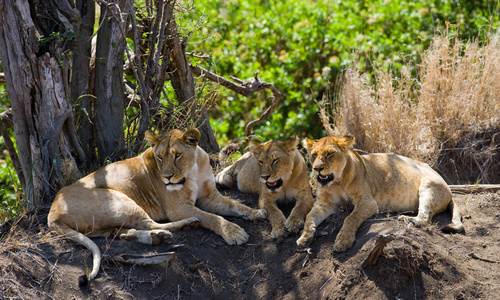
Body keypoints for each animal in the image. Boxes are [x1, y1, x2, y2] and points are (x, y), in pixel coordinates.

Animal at [47, 127, 266, 284]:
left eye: (177, 155)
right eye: (160, 156)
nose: (167, 177)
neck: (193, 169)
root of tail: (52, 213)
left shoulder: (210, 196)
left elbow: (234, 205)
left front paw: (257, 213)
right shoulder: (178, 208)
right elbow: (213, 218)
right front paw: (233, 232)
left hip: (107, 221)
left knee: (125, 232)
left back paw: (157, 238)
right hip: (119, 199)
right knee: (149, 223)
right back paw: (185, 225)